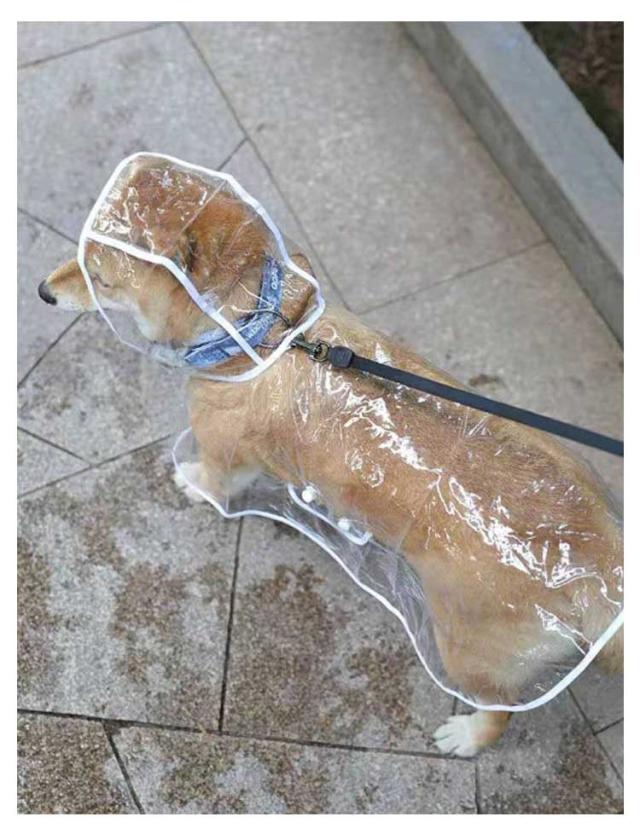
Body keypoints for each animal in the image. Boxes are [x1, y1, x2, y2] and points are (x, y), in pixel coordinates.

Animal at [38, 158, 623, 757]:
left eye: (99, 277)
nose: (41, 292)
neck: (263, 328)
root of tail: (600, 556)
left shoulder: (223, 451)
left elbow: (214, 477)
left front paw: (193, 482)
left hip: (465, 649)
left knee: (499, 710)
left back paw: (467, 736)